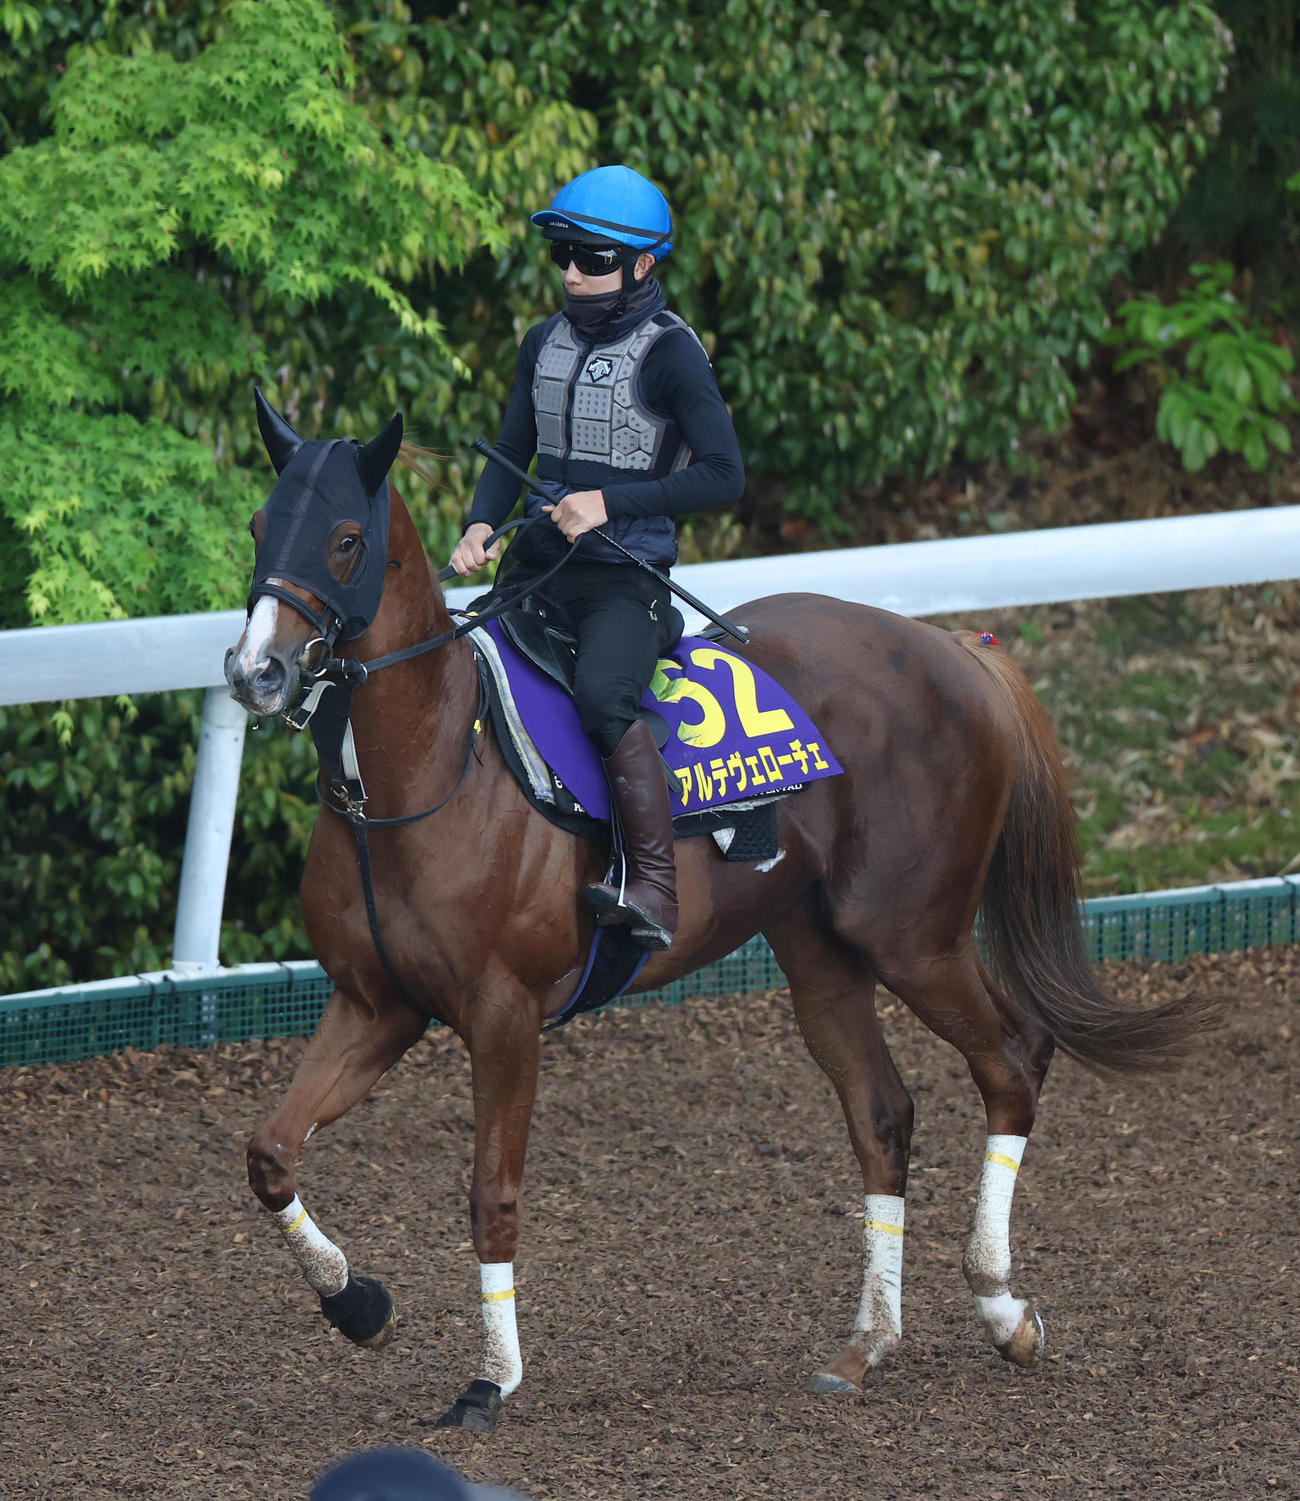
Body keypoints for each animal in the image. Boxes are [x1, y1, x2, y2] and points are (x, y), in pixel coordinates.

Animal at [225, 395, 1210, 1432]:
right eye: (258, 525)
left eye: (344, 538)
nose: (255, 671)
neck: (427, 766)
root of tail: (956, 651)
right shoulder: (376, 1004)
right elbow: (270, 1152)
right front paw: (357, 1303)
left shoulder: (504, 1018)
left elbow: (492, 1196)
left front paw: (491, 1378)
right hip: (820, 951)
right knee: (883, 1114)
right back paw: (867, 1343)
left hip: (916, 937)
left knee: (1012, 1061)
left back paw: (1003, 1308)